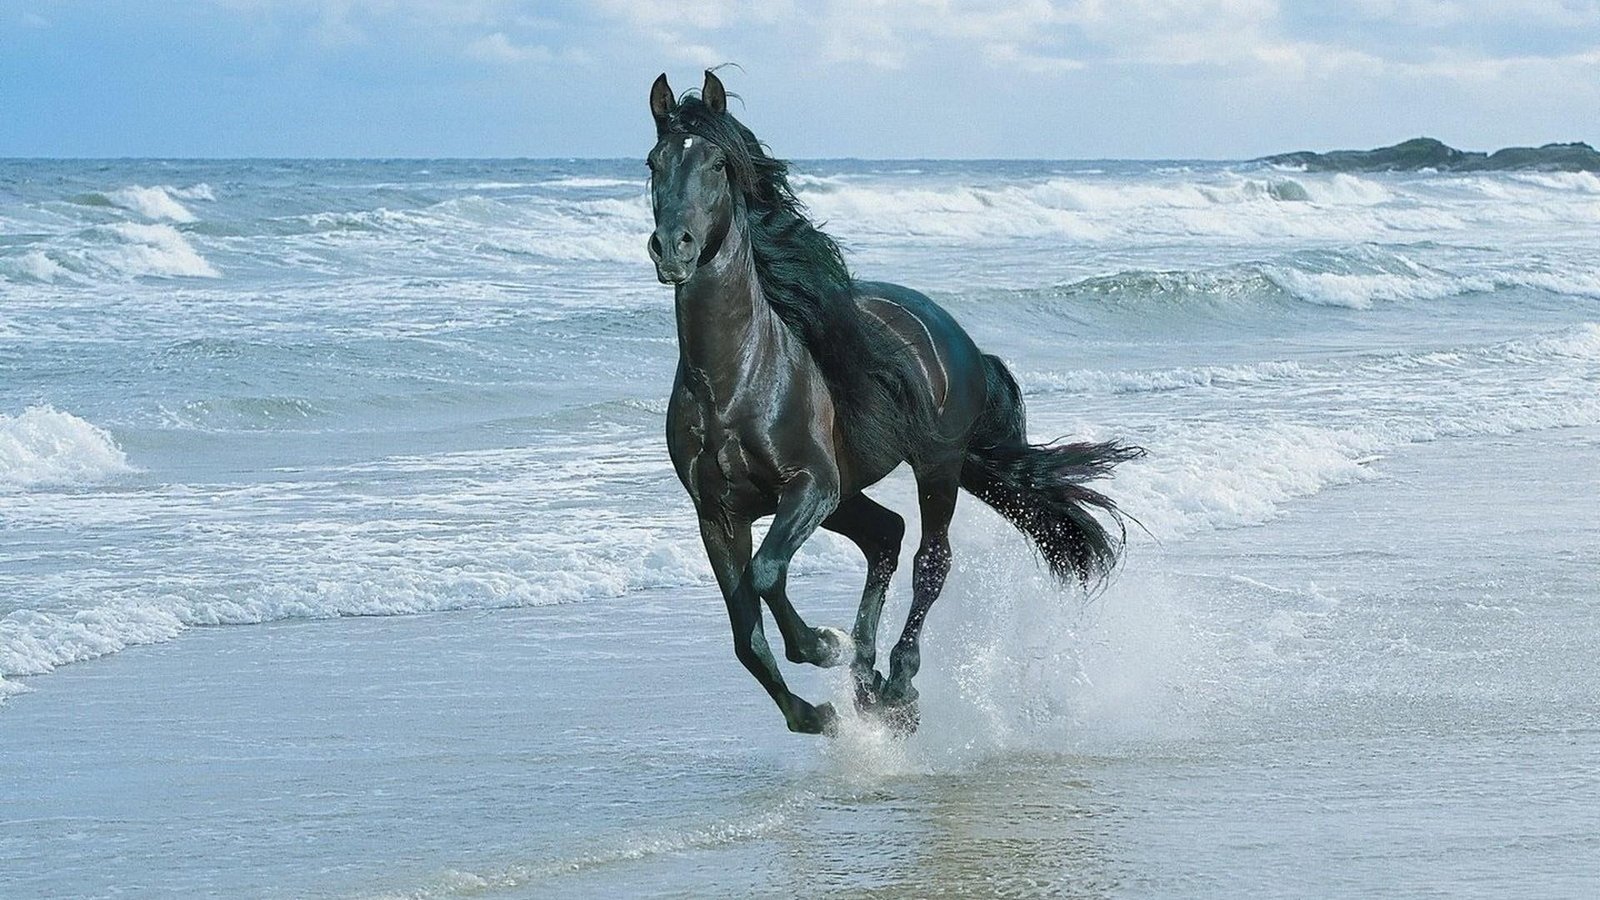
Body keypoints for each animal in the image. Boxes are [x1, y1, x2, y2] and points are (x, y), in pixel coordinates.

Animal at [647, 70, 1142, 735]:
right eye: (654, 162)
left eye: (718, 164)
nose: (672, 247)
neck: (734, 381)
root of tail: (956, 335)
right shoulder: (717, 514)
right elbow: (745, 635)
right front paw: (817, 713)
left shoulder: (810, 485)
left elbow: (768, 574)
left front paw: (823, 645)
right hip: (850, 493)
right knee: (886, 535)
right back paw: (867, 681)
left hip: (934, 468)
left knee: (930, 560)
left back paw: (897, 682)